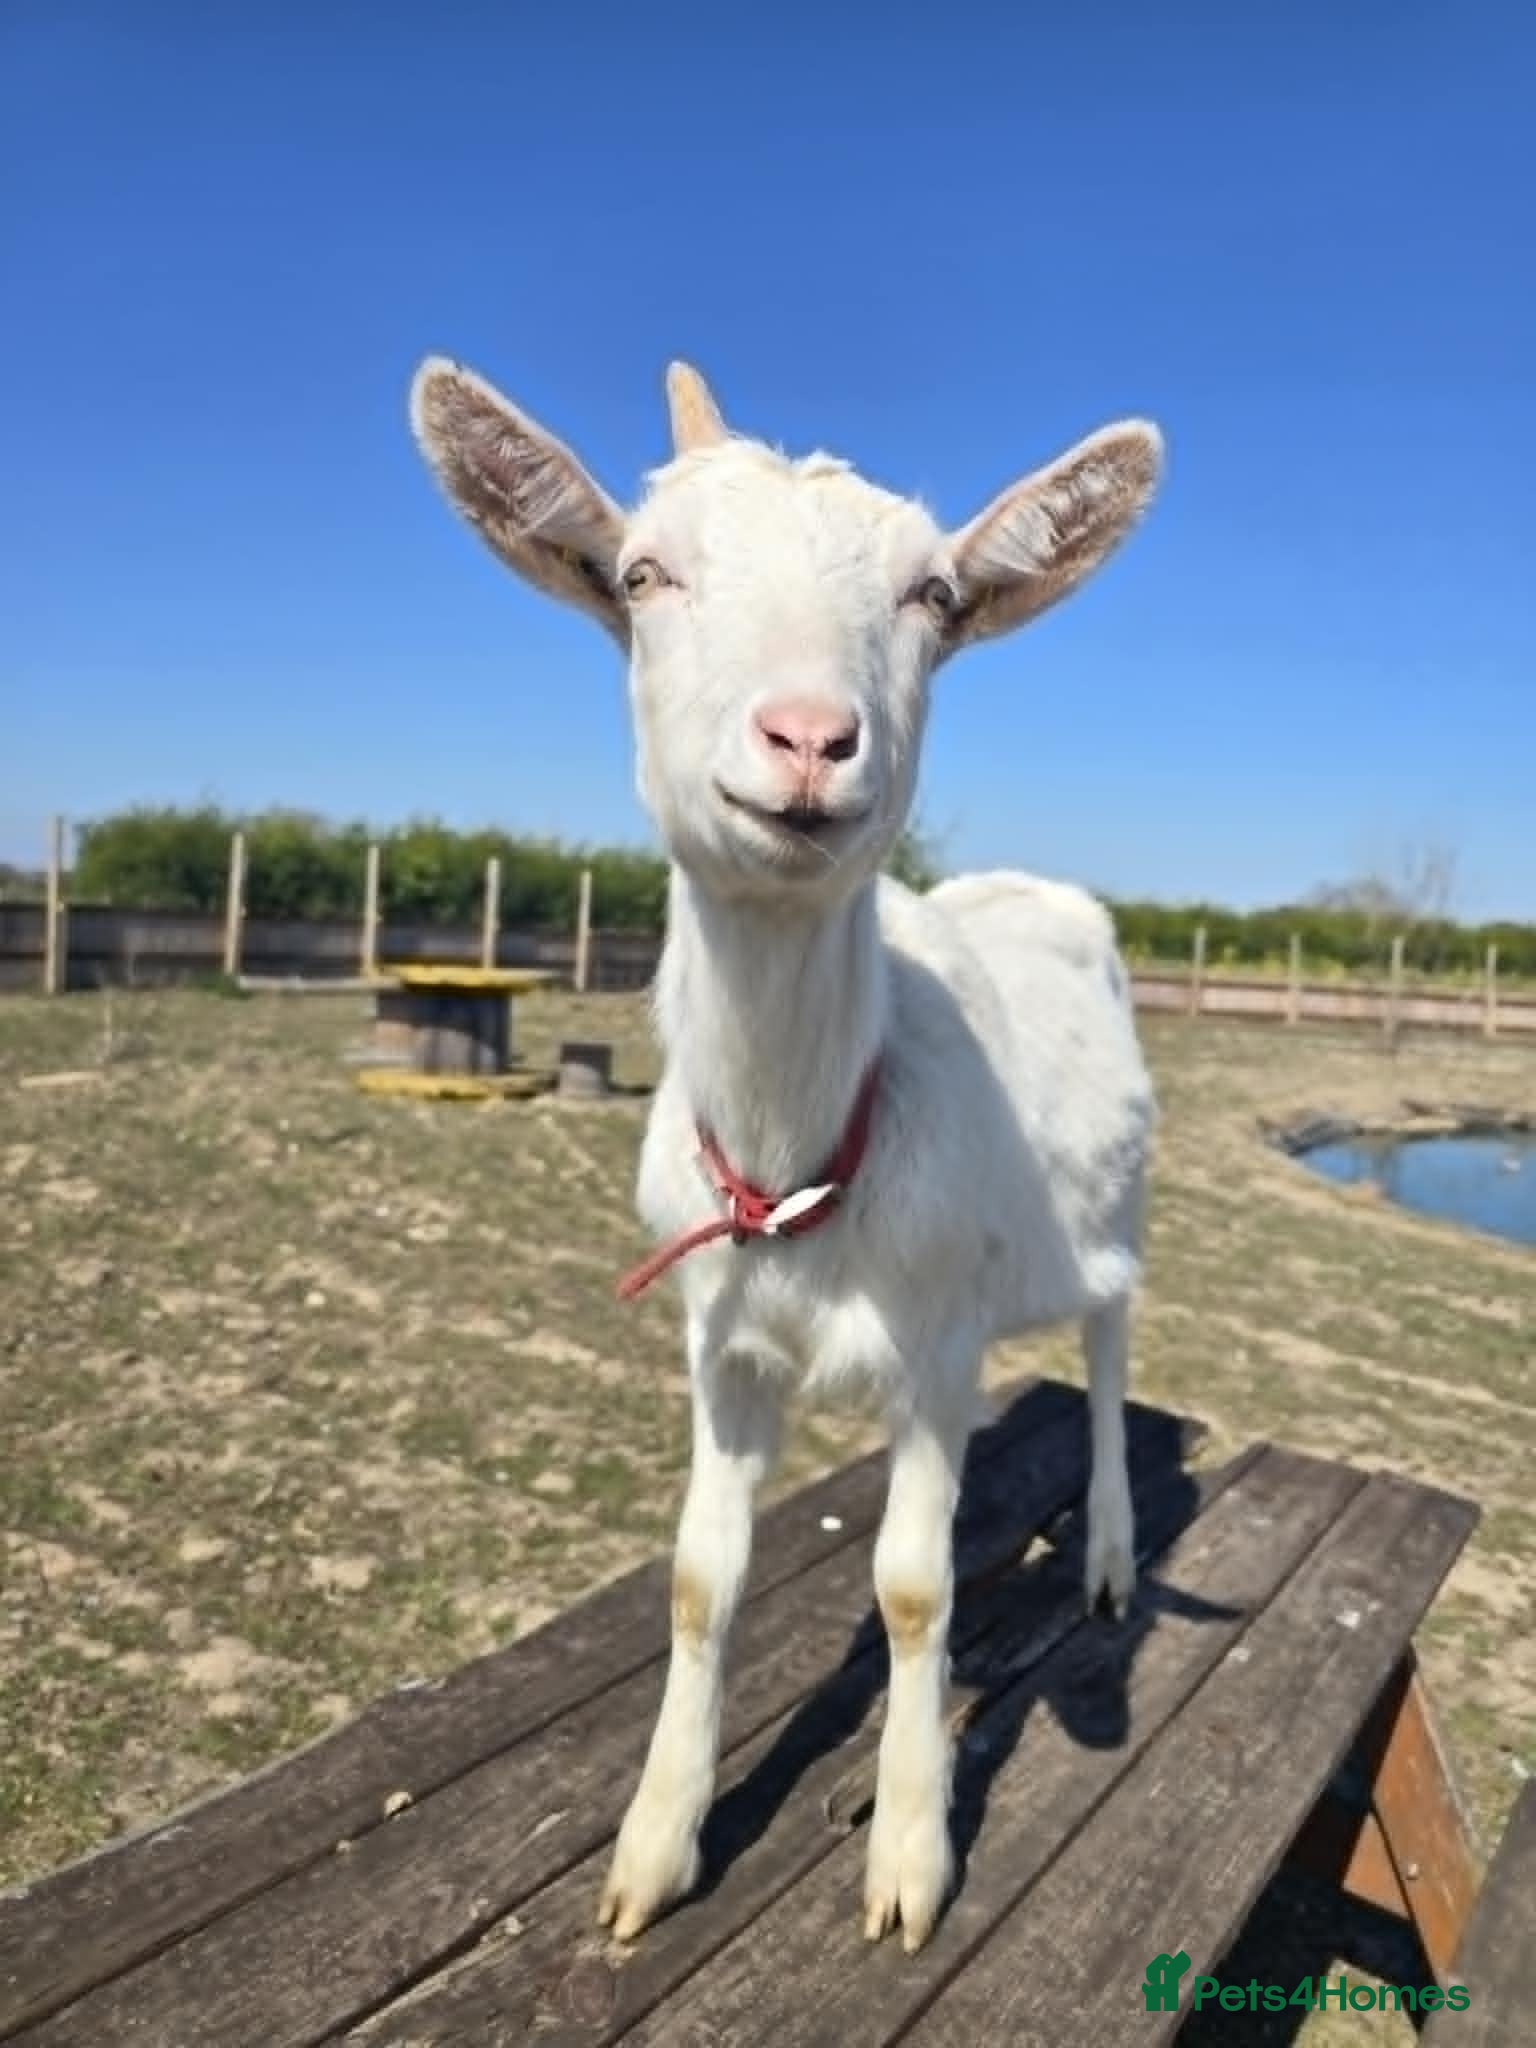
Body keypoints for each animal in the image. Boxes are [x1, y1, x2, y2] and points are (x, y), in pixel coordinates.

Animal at [410, 357, 1163, 1953]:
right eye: (644, 572)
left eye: (934, 595)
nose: (809, 739)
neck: (807, 1152)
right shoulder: (723, 1340)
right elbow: (703, 1579)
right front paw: (652, 1850)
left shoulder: (936, 1344)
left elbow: (916, 1588)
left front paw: (911, 1859)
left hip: (1121, 1218)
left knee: (1113, 1350)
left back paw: (1114, 1555)